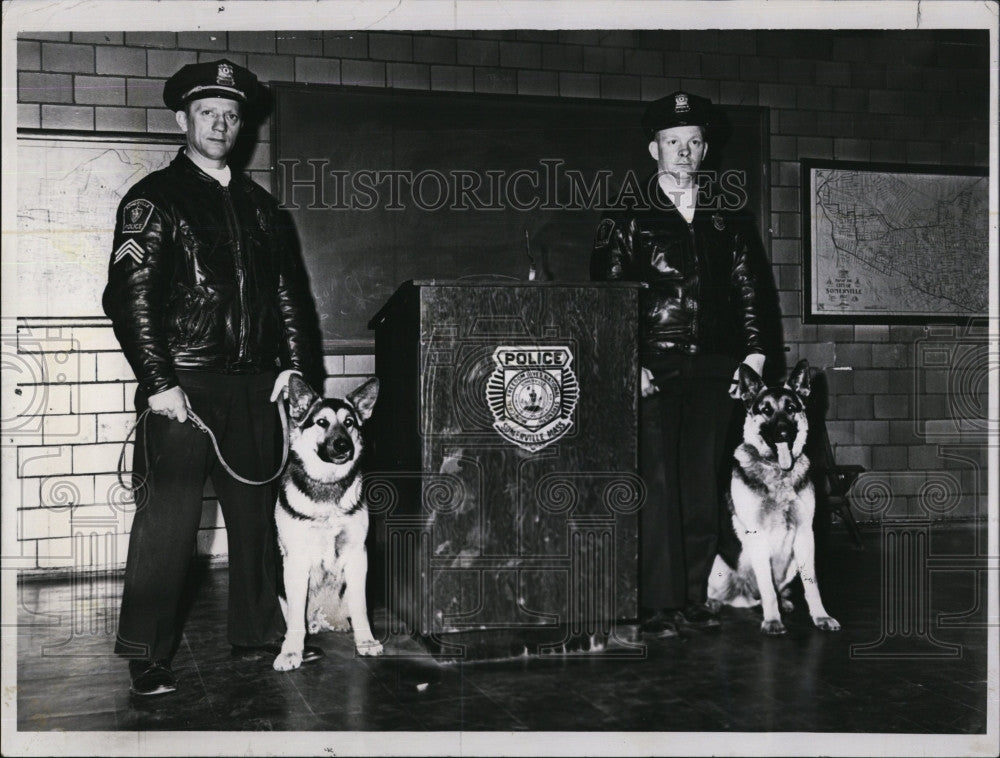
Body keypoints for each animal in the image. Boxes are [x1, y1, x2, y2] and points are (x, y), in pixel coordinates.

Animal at [274, 376, 382, 672]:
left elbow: (360, 607)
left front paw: (365, 641)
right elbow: (295, 619)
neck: (328, 484)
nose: (343, 446)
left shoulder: (358, 555)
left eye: (349, 422)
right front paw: (291, 652)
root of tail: (323, 619)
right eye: (321, 422)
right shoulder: (295, 560)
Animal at [708, 360, 840, 636]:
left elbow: (812, 585)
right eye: (766, 410)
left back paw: (782, 603)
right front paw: (772, 621)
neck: (779, 473)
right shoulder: (757, 536)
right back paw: (713, 604)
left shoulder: (805, 535)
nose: (782, 433)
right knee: (738, 593)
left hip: (791, 563)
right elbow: (767, 588)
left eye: (791, 408)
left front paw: (821, 616)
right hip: (719, 565)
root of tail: (744, 595)